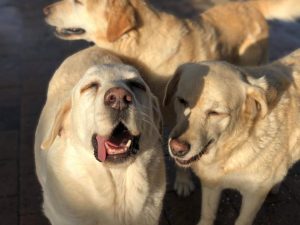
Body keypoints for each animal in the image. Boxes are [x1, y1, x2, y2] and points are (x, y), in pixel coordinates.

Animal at [165, 49, 300, 225]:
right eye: (182, 101)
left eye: (215, 113)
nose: (176, 148)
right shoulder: (211, 183)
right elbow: (207, 214)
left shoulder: (254, 196)